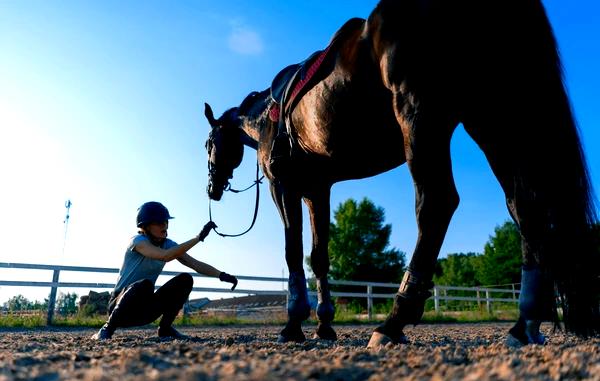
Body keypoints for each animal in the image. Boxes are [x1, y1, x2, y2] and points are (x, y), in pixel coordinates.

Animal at [203, 0, 600, 346]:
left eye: (208, 144)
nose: (212, 188)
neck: (267, 116)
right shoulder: (318, 190)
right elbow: (319, 257)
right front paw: (325, 325)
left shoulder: (283, 186)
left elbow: (292, 252)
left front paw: (293, 324)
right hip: (494, 124)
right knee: (524, 207)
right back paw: (524, 324)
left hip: (421, 119)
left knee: (437, 203)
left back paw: (394, 322)